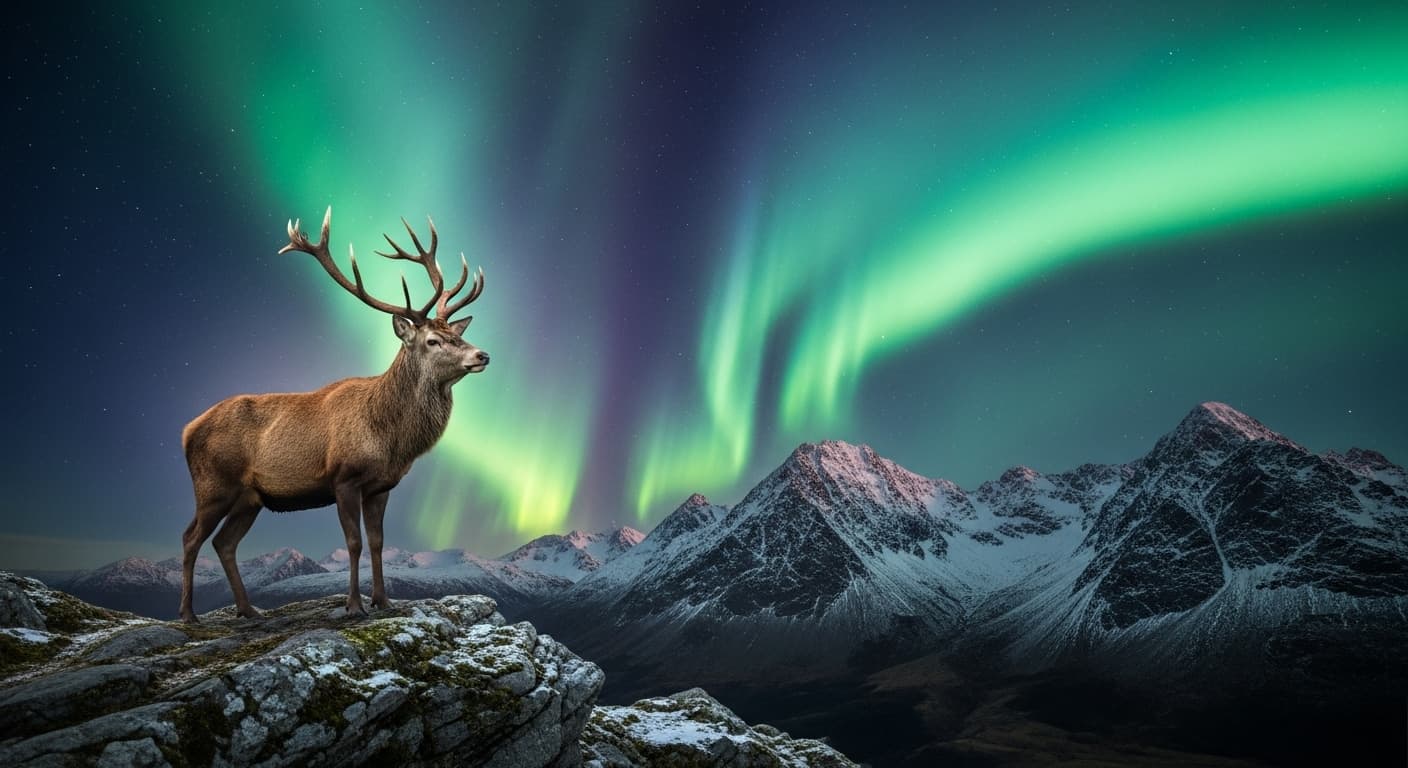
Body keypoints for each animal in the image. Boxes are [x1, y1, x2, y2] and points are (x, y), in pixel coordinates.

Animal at [178, 207, 488, 623]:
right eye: (433, 340)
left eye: (458, 335)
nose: (482, 355)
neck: (389, 438)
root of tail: (187, 429)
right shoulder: (343, 477)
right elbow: (354, 542)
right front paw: (354, 605)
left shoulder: (382, 486)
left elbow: (377, 542)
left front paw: (384, 601)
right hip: (213, 485)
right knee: (191, 537)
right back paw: (188, 614)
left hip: (249, 497)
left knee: (224, 543)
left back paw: (248, 609)